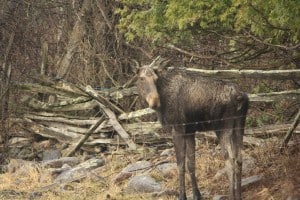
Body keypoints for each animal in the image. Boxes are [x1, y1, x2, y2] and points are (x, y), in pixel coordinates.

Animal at [136, 56, 248, 200]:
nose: (155, 101)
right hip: (239, 125)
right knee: (239, 158)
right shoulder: (190, 131)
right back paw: (238, 195)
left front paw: (182, 196)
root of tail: (240, 97)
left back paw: (231, 196)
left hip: (222, 128)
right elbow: (191, 164)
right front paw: (196, 195)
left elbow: (180, 164)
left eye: (155, 79)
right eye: (141, 78)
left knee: (230, 161)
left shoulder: (177, 129)